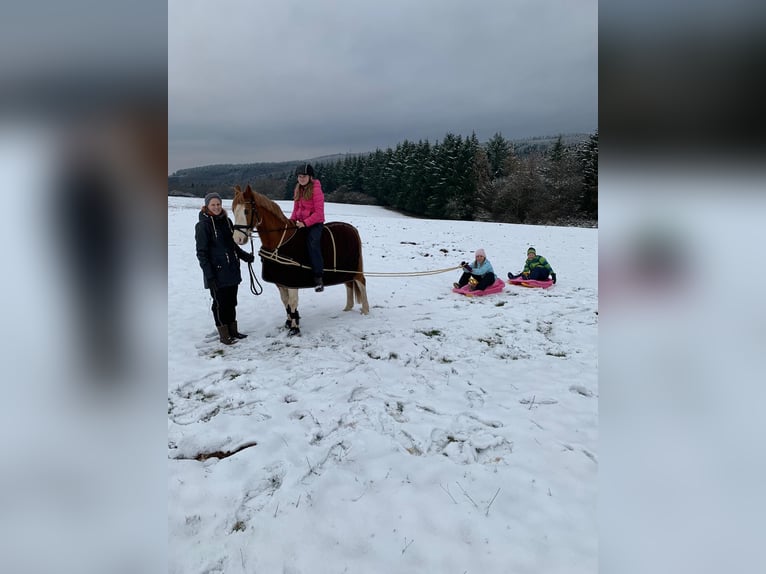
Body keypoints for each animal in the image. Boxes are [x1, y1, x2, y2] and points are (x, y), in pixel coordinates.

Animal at [231, 184, 368, 338]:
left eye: (246, 210)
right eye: (233, 210)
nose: (237, 239)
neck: (279, 241)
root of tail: (353, 229)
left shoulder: (292, 282)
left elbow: (292, 302)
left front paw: (294, 328)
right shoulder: (280, 282)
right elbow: (285, 302)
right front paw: (289, 322)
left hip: (355, 268)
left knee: (361, 282)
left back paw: (365, 310)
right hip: (345, 270)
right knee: (349, 284)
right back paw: (347, 308)